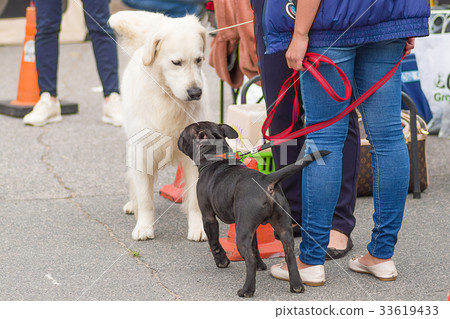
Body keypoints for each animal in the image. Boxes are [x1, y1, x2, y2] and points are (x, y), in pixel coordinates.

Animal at [109, 11, 207, 242]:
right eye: (176, 62)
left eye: (199, 60)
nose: (195, 92)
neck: (169, 100)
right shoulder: (142, 151)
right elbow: (146, 199)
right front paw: (144, 227)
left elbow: (195, 200)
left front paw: (198, 228)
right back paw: (132, 205)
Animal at [178, 121, 328, 298]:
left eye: (183, 135)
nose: (177, 139)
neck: (215, 156)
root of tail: (267, 179)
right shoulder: (252, 227)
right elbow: (256, 247)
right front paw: (260, 265)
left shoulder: (208, 217)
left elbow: (214, 241)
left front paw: (222, 261)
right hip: (282, 228)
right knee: (290, 255)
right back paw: (297, 285)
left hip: (241, 233)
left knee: (248, 259)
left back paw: (246, 290)